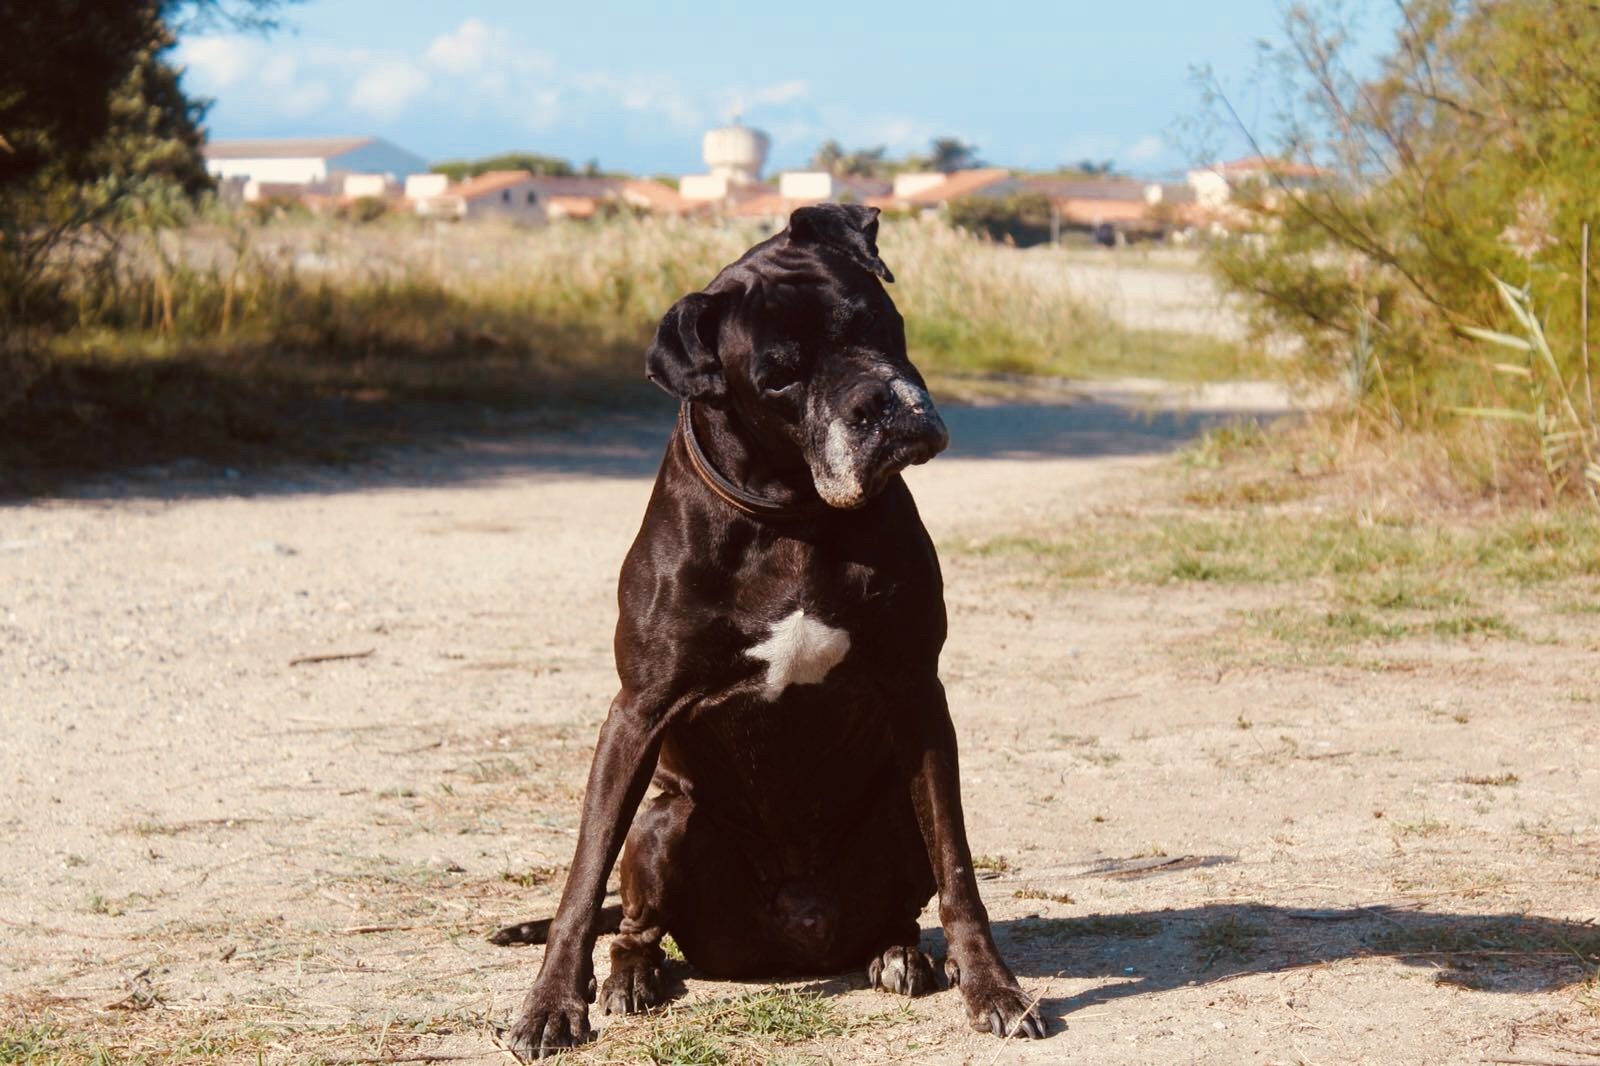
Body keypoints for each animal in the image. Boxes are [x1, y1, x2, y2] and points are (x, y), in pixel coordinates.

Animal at [499, 201, 1049, 1056]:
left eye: (876, 322)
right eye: (779, 377)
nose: (877, 405)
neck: (795, 510)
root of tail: (797, 943)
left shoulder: (918, 694)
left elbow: (958, 868)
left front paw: (993, 986)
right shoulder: (636, 714)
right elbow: (582, 881)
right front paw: (552, 1003)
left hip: (892, 806)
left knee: (903, 905)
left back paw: (901, 955)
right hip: (664, 818)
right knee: (635, 923)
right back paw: (632, 975)